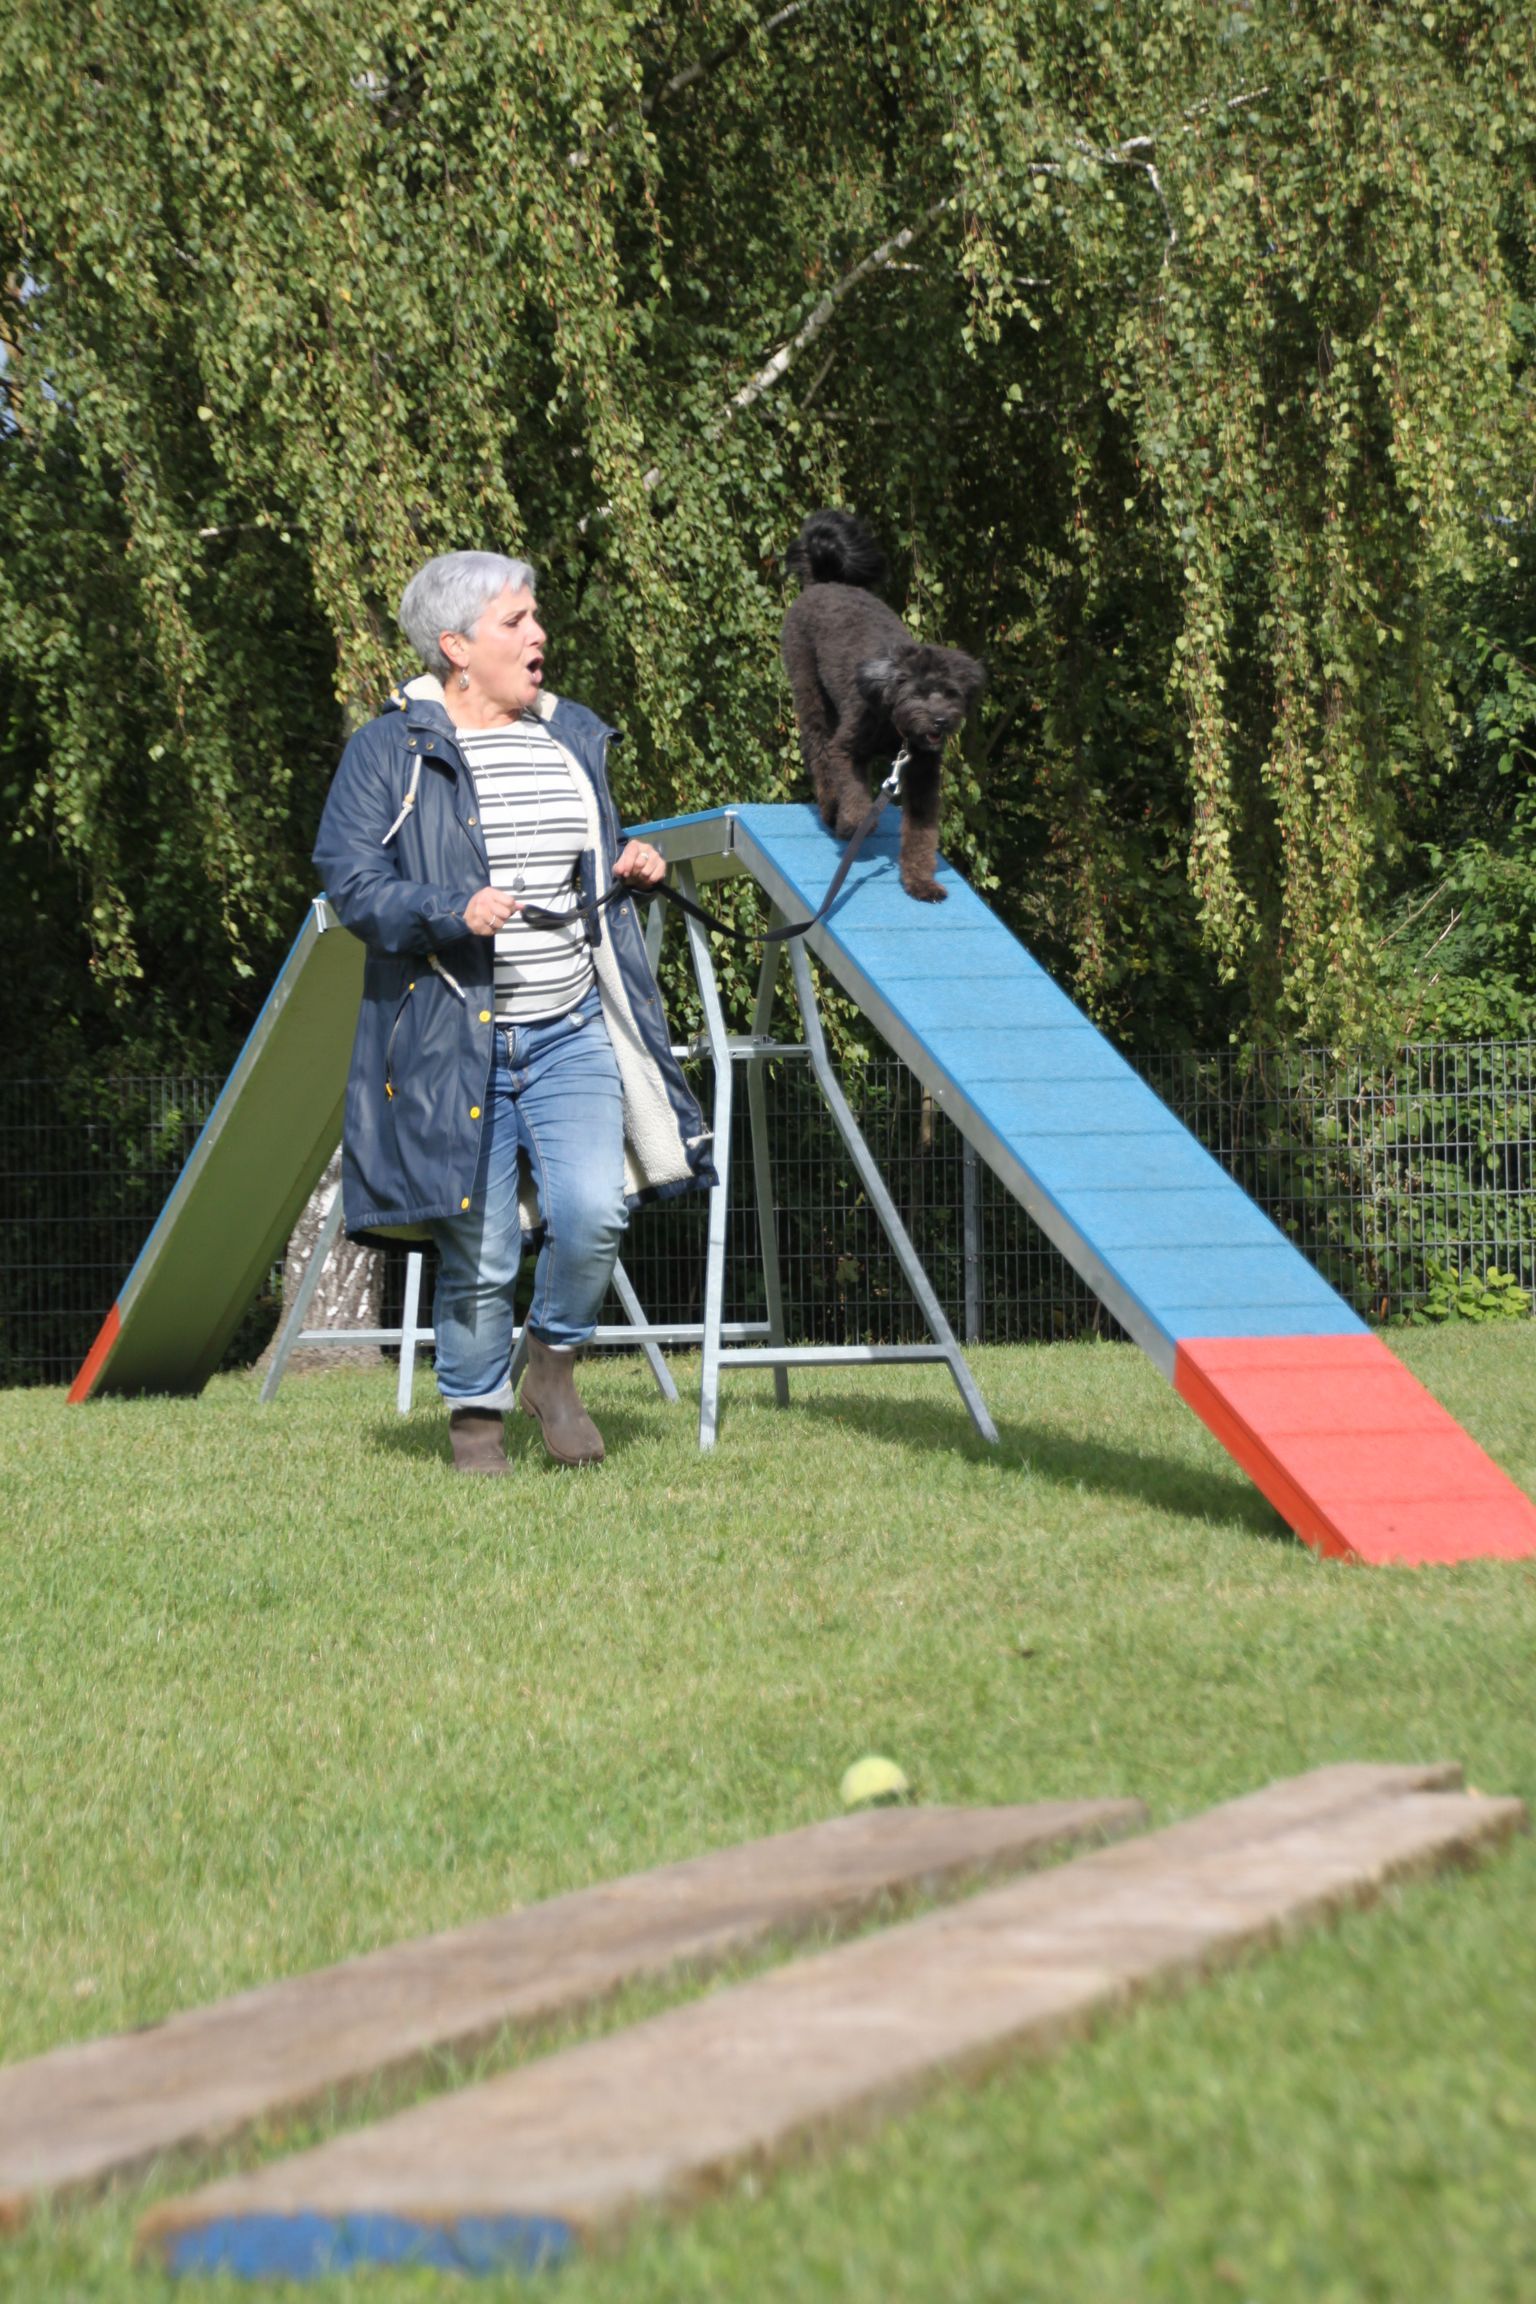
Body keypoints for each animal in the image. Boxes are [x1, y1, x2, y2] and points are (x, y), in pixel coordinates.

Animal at [780, 509, 985, 903]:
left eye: (951, 692)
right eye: (918, 692)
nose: (940, 720)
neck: (896, 727)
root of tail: (826, 582)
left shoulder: (923, 775)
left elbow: (921, 834)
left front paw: (921, 882)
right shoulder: (846, 748)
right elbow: (852, 788)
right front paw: (855, 822)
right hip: (811, 694)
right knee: (818, 753)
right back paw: (832, 812)